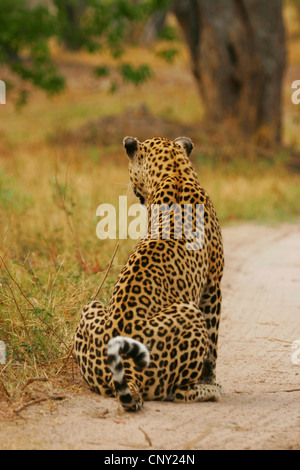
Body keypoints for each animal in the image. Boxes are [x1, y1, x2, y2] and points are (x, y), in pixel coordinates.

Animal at [74, 136, 224, 412]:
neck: (175, 172)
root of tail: (128, 370)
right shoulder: (213, 285)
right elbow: (213, 345)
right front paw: (211, 378)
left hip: (91, 306)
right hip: (189, 311)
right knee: (180, 392)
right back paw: (210, 390)